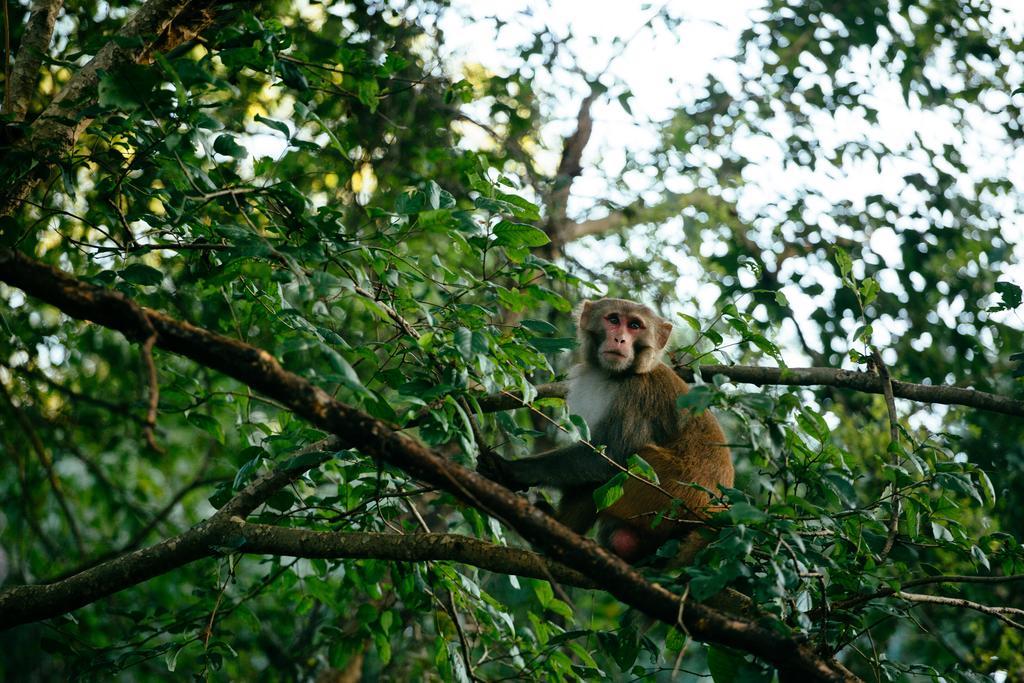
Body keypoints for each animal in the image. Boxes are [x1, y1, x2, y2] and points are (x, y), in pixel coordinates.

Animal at [475, 296, 733, 561]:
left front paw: (513, 470)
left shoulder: (637, 395)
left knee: (627, 464)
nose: (620, 339)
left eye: (635, 326)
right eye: (614, 320)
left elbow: (610, 457)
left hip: (669, 496)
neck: (614, 375)